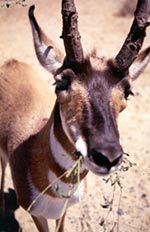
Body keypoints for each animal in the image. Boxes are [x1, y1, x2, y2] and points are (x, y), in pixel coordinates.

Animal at [0, 0, 149, 231]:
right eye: (61, 82)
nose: (108, 157)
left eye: (128, 91)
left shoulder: (62, 212)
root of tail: (12, 62)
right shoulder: (37, 216)